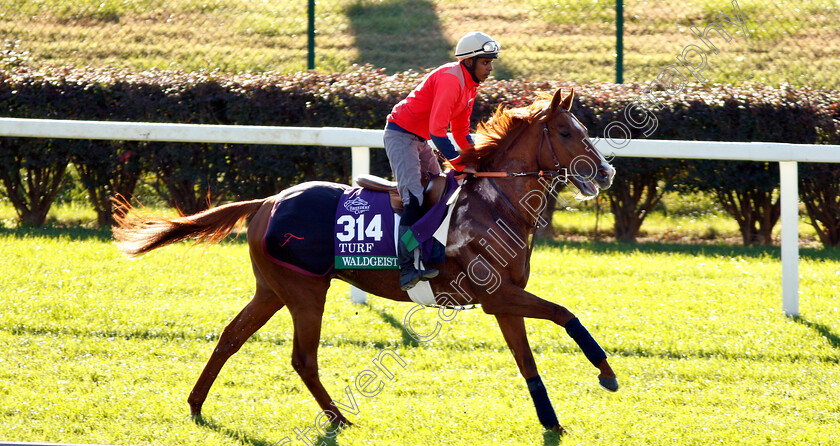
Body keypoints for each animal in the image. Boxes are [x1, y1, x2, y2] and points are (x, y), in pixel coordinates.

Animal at [113, 87, 616, 432]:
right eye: (568, 132)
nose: (606, 172)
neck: (497, 202)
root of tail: (268, 201)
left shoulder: (503, 300)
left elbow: (528, 360)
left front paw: (552, 420)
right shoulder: (498, 295)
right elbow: (564, 314)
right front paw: (607, 372)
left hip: (272, 290)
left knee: (230, 337)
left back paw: (197, 404)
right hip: (304, 291)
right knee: (303, 358)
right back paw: (338, 418)